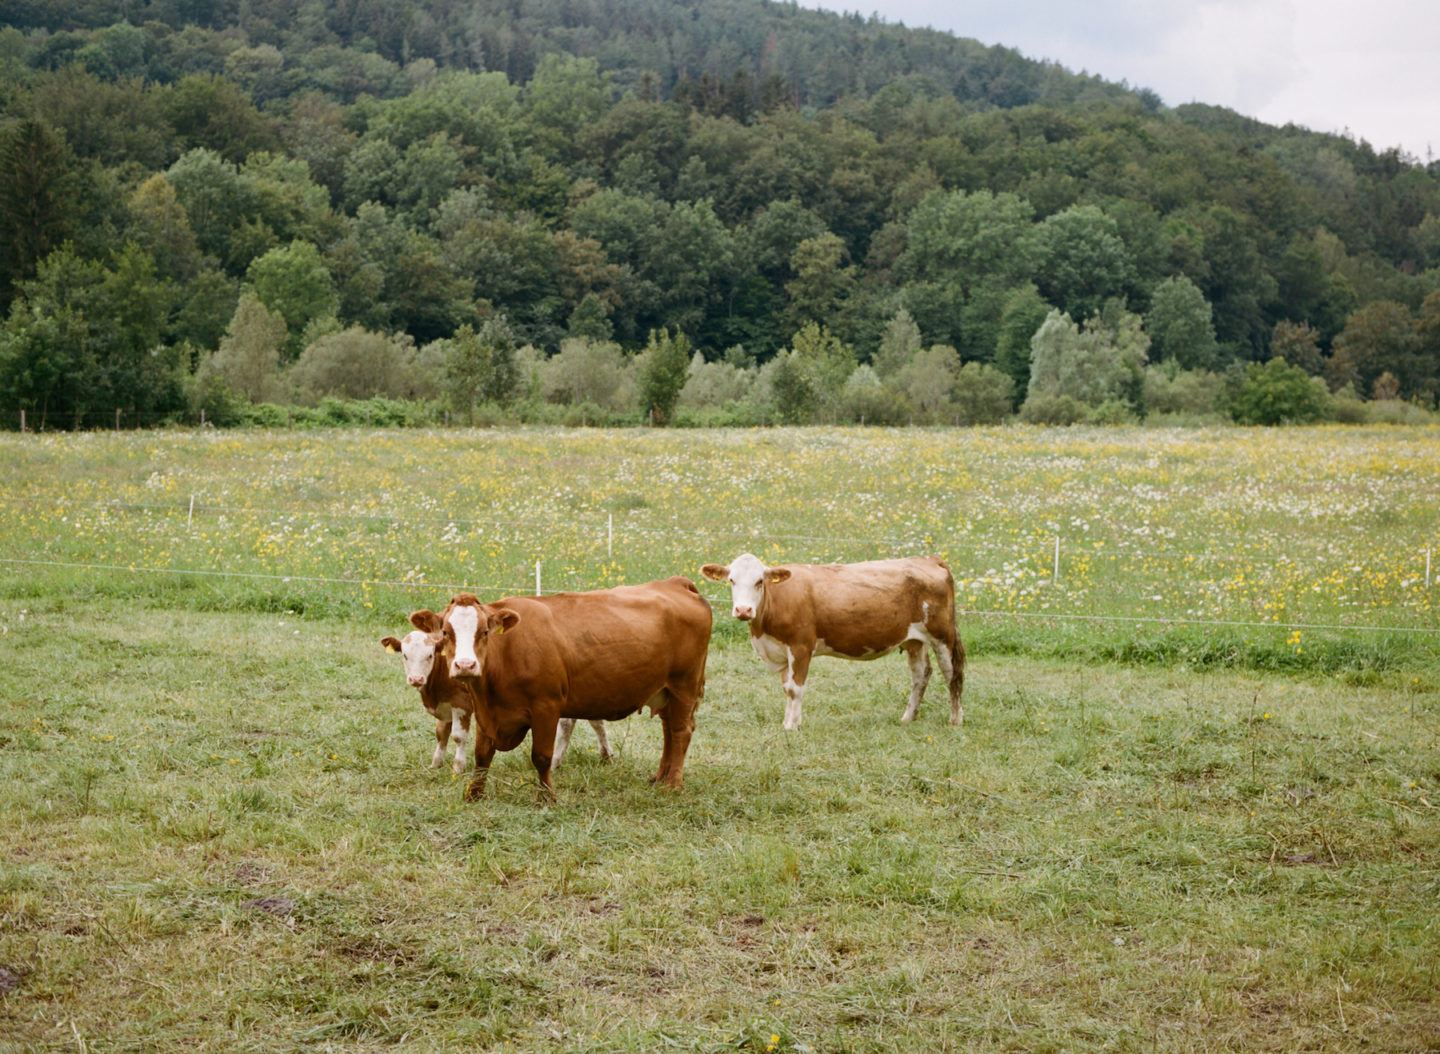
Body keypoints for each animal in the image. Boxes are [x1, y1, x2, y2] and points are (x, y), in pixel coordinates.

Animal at [380, 610, 610, 771]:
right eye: (405, 655)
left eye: (429, 655)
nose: (416, 679)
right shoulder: (445, 705)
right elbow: (441, 734)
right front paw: (436, 763)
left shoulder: (461, 704)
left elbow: (457, 736)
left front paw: (458, 767)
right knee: (585, 722)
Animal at [434, 575, 711, 800]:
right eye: (446, 632)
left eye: (484, 632)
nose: (465, 665)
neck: (508, 651)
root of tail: (676, 583)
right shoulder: (485, 711)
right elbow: (482, 755)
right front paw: (474, 795)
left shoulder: (546, 707)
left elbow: (541, 756)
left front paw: (547, 798)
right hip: (665, 692)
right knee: (668, 731)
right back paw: (659, 777)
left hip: (684, 686)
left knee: (681, 731)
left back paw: (673, 784)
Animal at [699, 552, 961, 731]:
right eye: (731, 580)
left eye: (759, 581)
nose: (743, 610)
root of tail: (929, 558)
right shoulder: (782, 651)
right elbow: (786, 688)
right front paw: (787, 722)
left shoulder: (801, 647)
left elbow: (795, 689)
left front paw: (792, 727)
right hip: (914, 640)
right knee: (921, 674)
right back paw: (908, 718)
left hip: (942, 636)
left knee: (952, 674)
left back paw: (955, 719)